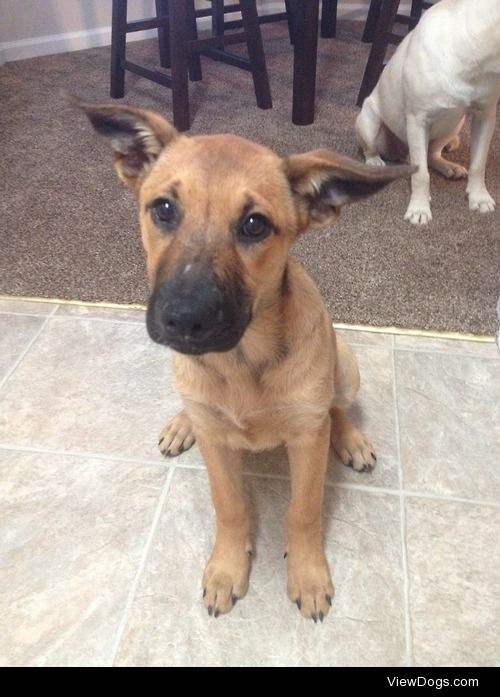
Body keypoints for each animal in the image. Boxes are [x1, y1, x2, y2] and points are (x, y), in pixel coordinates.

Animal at [79, 100, 414, 616]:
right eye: (164, 209)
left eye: (254, 225)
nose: (183, 319)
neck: (242, 360)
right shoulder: (218, 447)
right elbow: (230, 506)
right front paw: (227, 567)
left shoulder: (305, 443)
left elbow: (303, 511)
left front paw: (308, 573)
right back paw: (182, 422)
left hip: (346, 364)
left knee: (334, 408)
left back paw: (350, 438)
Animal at [356, 0, 500, 224]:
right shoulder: (418, 121)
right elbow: (421, 175)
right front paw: (419, 209)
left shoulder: (484, 117)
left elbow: (478, 164)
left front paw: (479, 198)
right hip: (369, 123)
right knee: (372, 148)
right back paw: (375, 162)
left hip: (454, 126)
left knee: (432, 154)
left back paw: (449, 167)